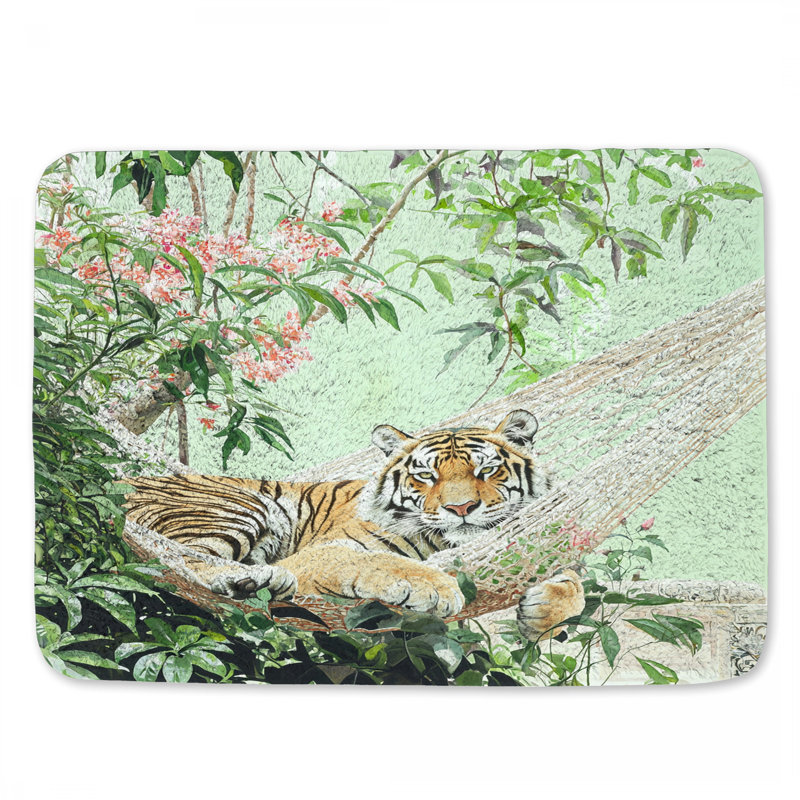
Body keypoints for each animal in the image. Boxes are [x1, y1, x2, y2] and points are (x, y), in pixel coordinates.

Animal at [125, 409, 584, 638]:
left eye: (485, 471)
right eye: (427, 475)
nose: (462, 508)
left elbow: (574, 581)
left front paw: (545, 612)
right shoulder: (324, 551)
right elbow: (373, 561)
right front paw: (434, 587)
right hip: (234, 506)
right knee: (180, 557)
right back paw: (251, 582)